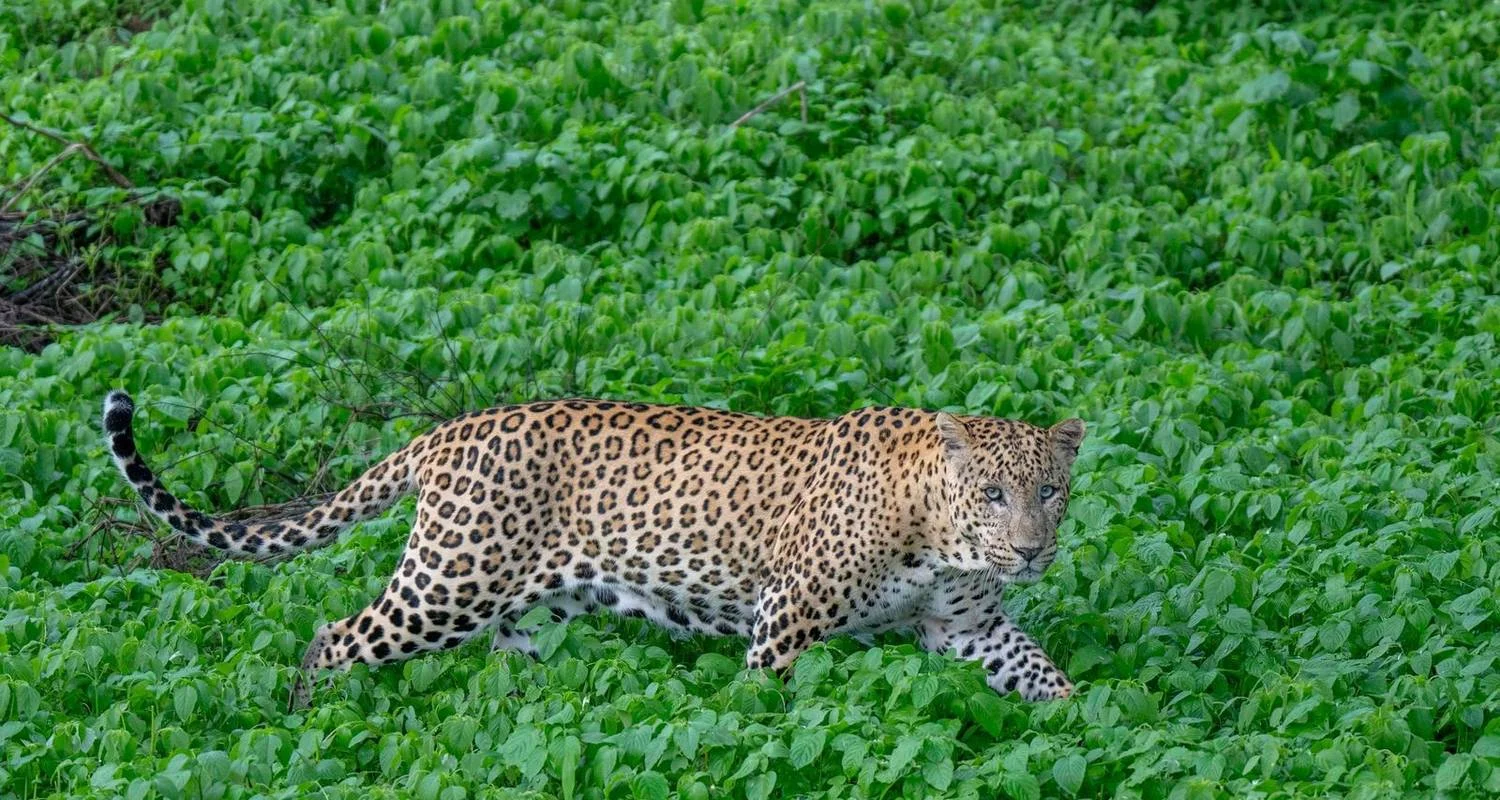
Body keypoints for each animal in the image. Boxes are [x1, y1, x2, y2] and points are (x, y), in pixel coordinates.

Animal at [102, 389, 1085, 708]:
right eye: (992, 495)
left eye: (1049, 491)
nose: (1031, 553)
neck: (940, 540)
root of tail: (448, 430)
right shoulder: (786, 620)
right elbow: (768, 704)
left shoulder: (965, 630)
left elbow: (1045, 675)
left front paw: (1095, 726)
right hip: (447, 583)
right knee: (336, 634)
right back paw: (313, 719)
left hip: (519, 610)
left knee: (514, 673)